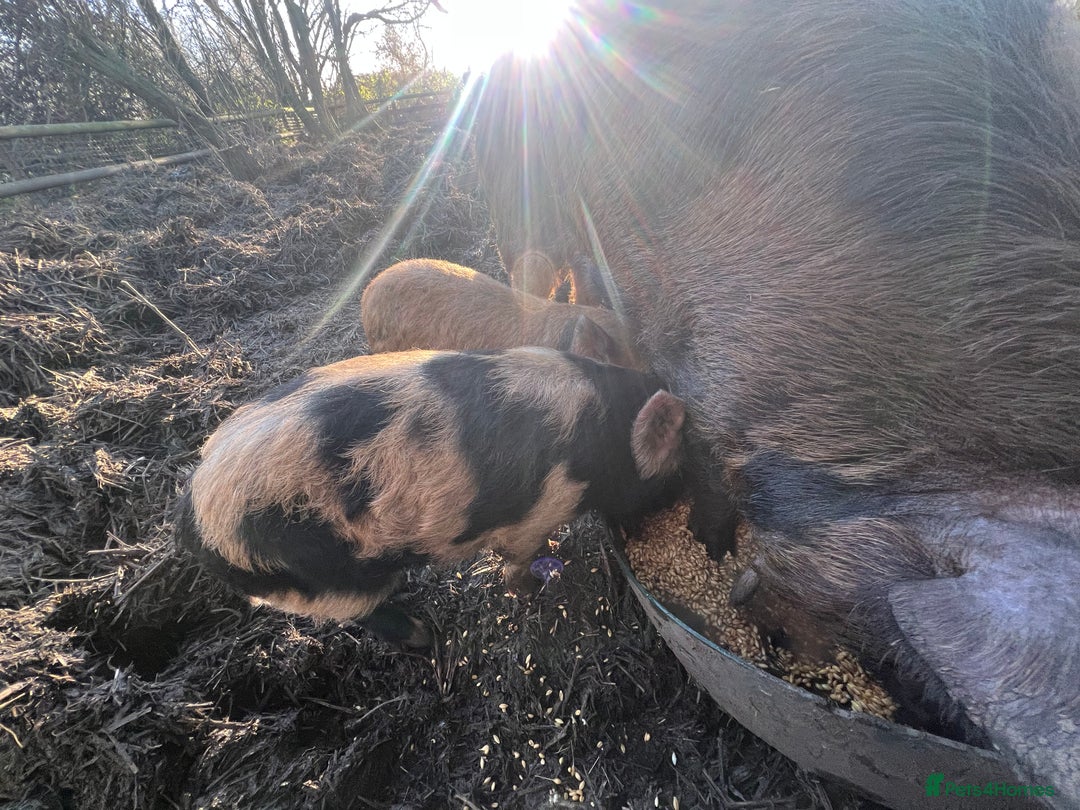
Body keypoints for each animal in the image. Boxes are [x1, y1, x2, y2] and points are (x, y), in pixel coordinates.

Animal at [175, 347, 684, 647]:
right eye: (677, 473)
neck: (605, 435)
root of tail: (192, 521)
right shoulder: (538, 512)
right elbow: (518, 558)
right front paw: (533, 587)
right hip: (324, 582)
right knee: (365, 614)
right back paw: (424, 636)